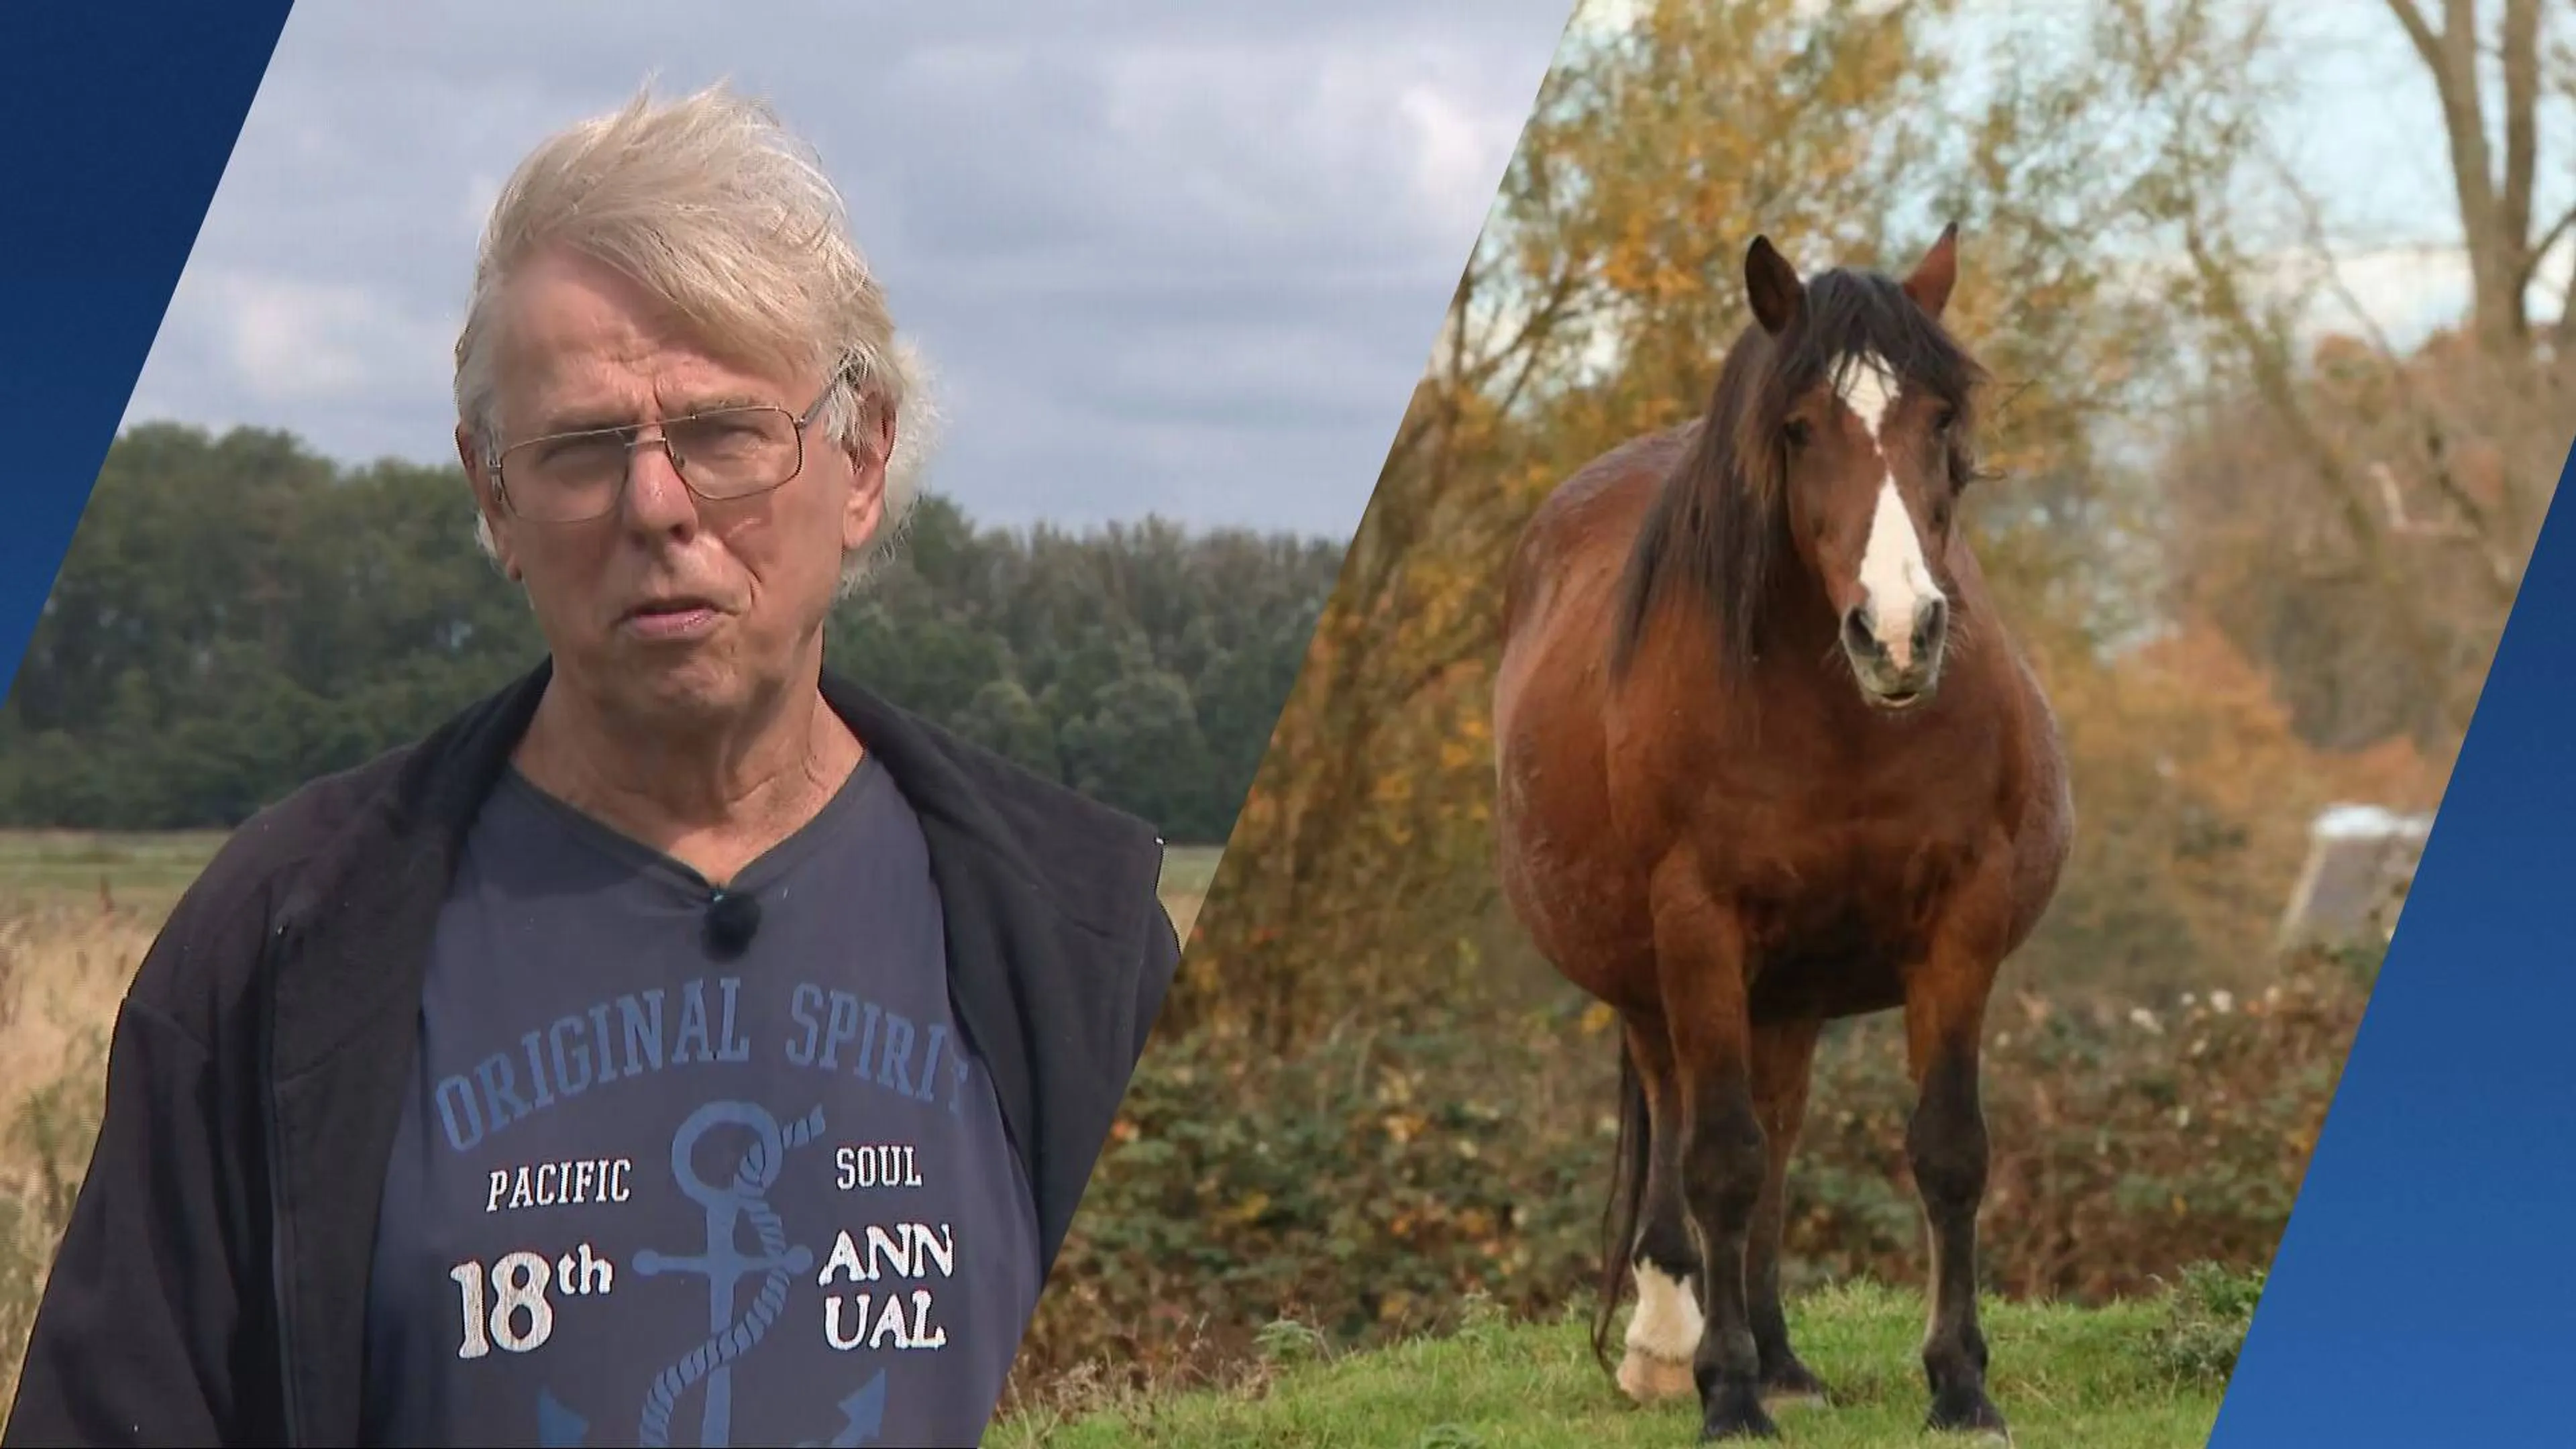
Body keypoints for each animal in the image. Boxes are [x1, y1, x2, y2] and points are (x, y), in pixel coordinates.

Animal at [1492, 226, 2072, 1443]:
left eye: (1938, 421)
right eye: (1799, 428)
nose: (1898, 634)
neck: (1843, 722)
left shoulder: (1962, 921)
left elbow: (1948, 1151)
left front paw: (1960, 1385)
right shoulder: (1698, 929)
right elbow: (1718, 1159)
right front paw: (1727, 1395)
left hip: (1791, 992)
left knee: (1779, 1128)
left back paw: (1782, 1353)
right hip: (1656, 982)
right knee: (1687, 1123)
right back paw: (1676, 1346)